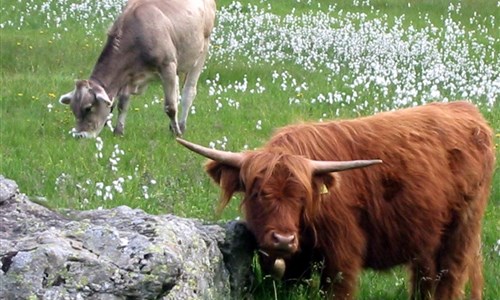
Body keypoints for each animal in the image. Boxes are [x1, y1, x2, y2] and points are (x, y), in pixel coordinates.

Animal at [58, 0, 215, 138]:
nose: (79, 135)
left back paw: (181, 126)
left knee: (188, 92)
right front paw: (118, 131)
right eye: (73, 110)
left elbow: (170, 107)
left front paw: (177, 134)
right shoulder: (128, 75)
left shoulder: (167, 65)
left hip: (202, 48)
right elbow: (123, 103)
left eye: (88, 107)